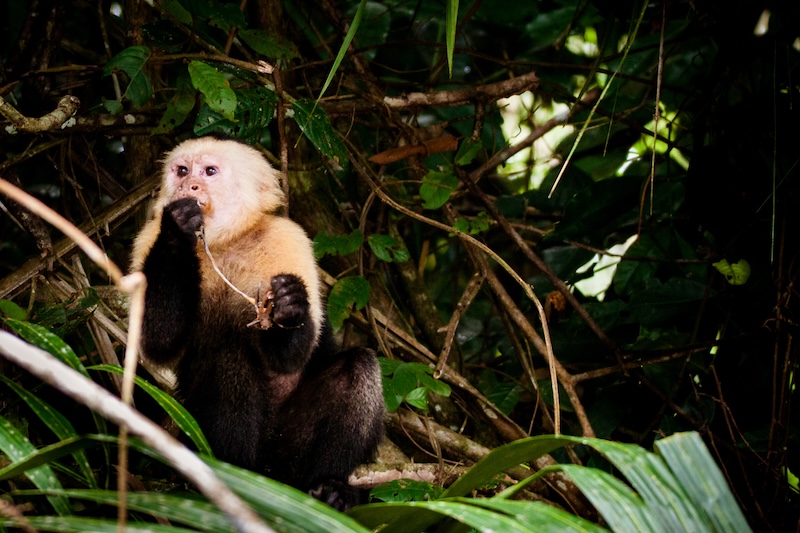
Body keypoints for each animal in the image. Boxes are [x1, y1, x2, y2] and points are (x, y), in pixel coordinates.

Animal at [130, 135, 384, 510]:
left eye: (209, 171)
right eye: (182, 170)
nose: (189, 186)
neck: (225, 242)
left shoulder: (287, 238)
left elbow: (293, 357)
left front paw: (290, 307)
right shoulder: (147, 240)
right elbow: (159, 343)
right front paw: (178, 225)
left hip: (290, 456)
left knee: (359, 366)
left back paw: (330, 487)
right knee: (229, 354)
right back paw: (236, 474)